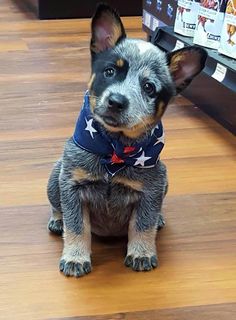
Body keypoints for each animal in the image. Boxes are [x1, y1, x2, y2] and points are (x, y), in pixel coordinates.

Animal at [47, 3, 206, 278]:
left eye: (149, 87)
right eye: (110, 71)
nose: (116, 101)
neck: (114, 148)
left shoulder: (151, 190)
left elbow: (142, 225)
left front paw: (141, 253)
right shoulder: (72, 185)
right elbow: (76, 226)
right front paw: (75, 257)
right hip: (55, 175)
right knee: (59, 208)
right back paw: (58, 219)